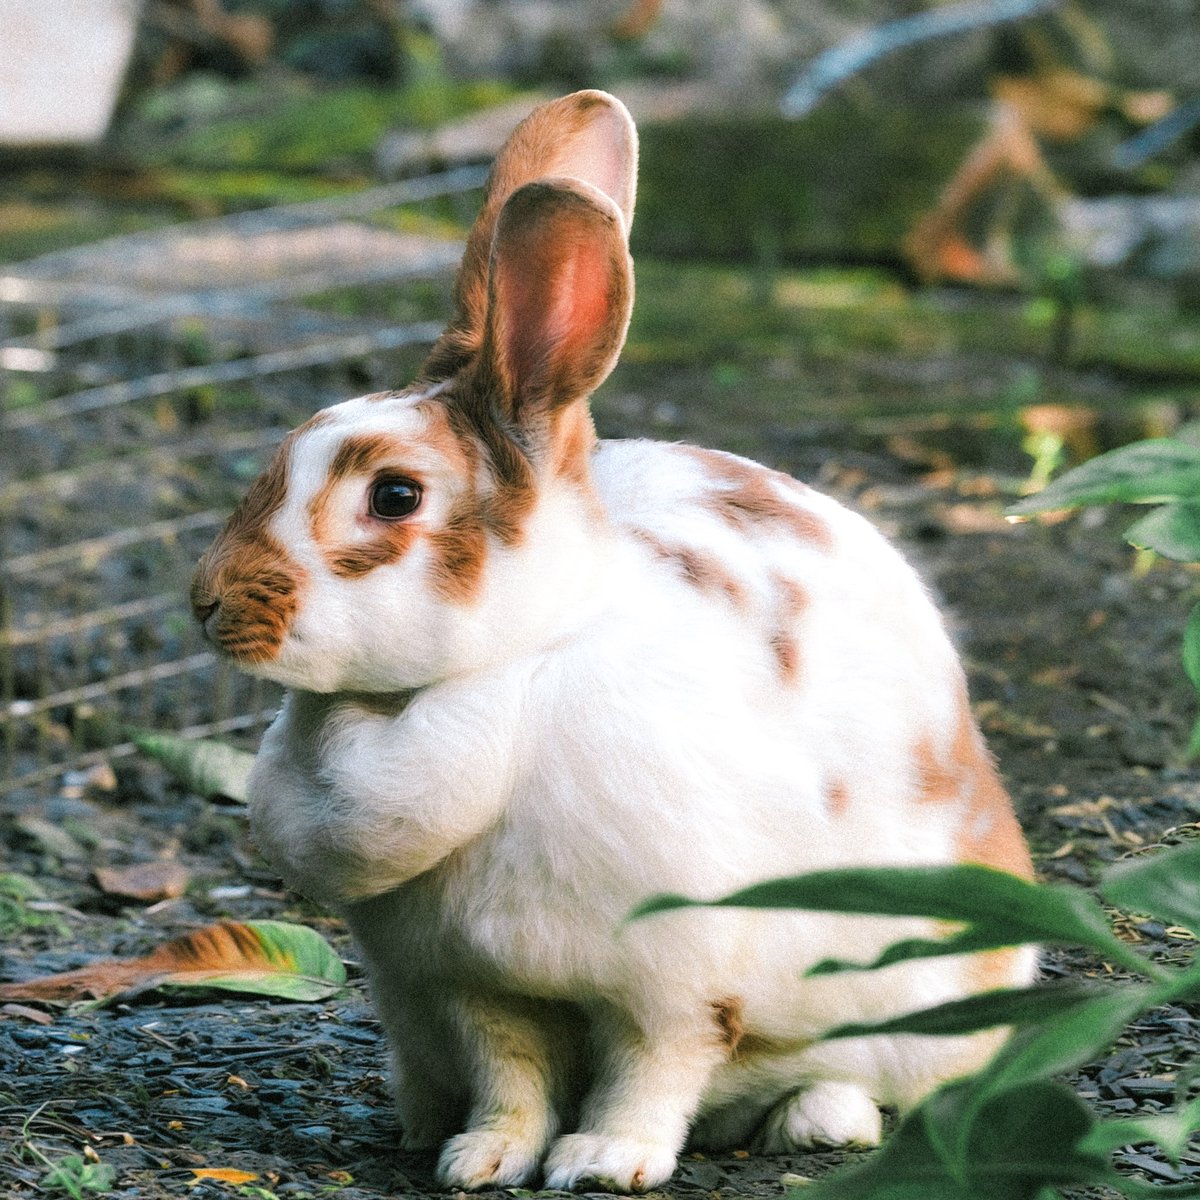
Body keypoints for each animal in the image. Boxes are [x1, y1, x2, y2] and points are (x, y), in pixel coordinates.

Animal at [192, 91, 1036, 1190]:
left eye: (395, 496)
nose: (207, 602)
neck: (519, 662)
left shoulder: (676, 977)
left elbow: (656, 1068)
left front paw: (606, 1160)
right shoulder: (471, 984)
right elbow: (510, 1074)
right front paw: (485, 1158)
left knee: (867, 1079)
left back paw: (817, 1120)